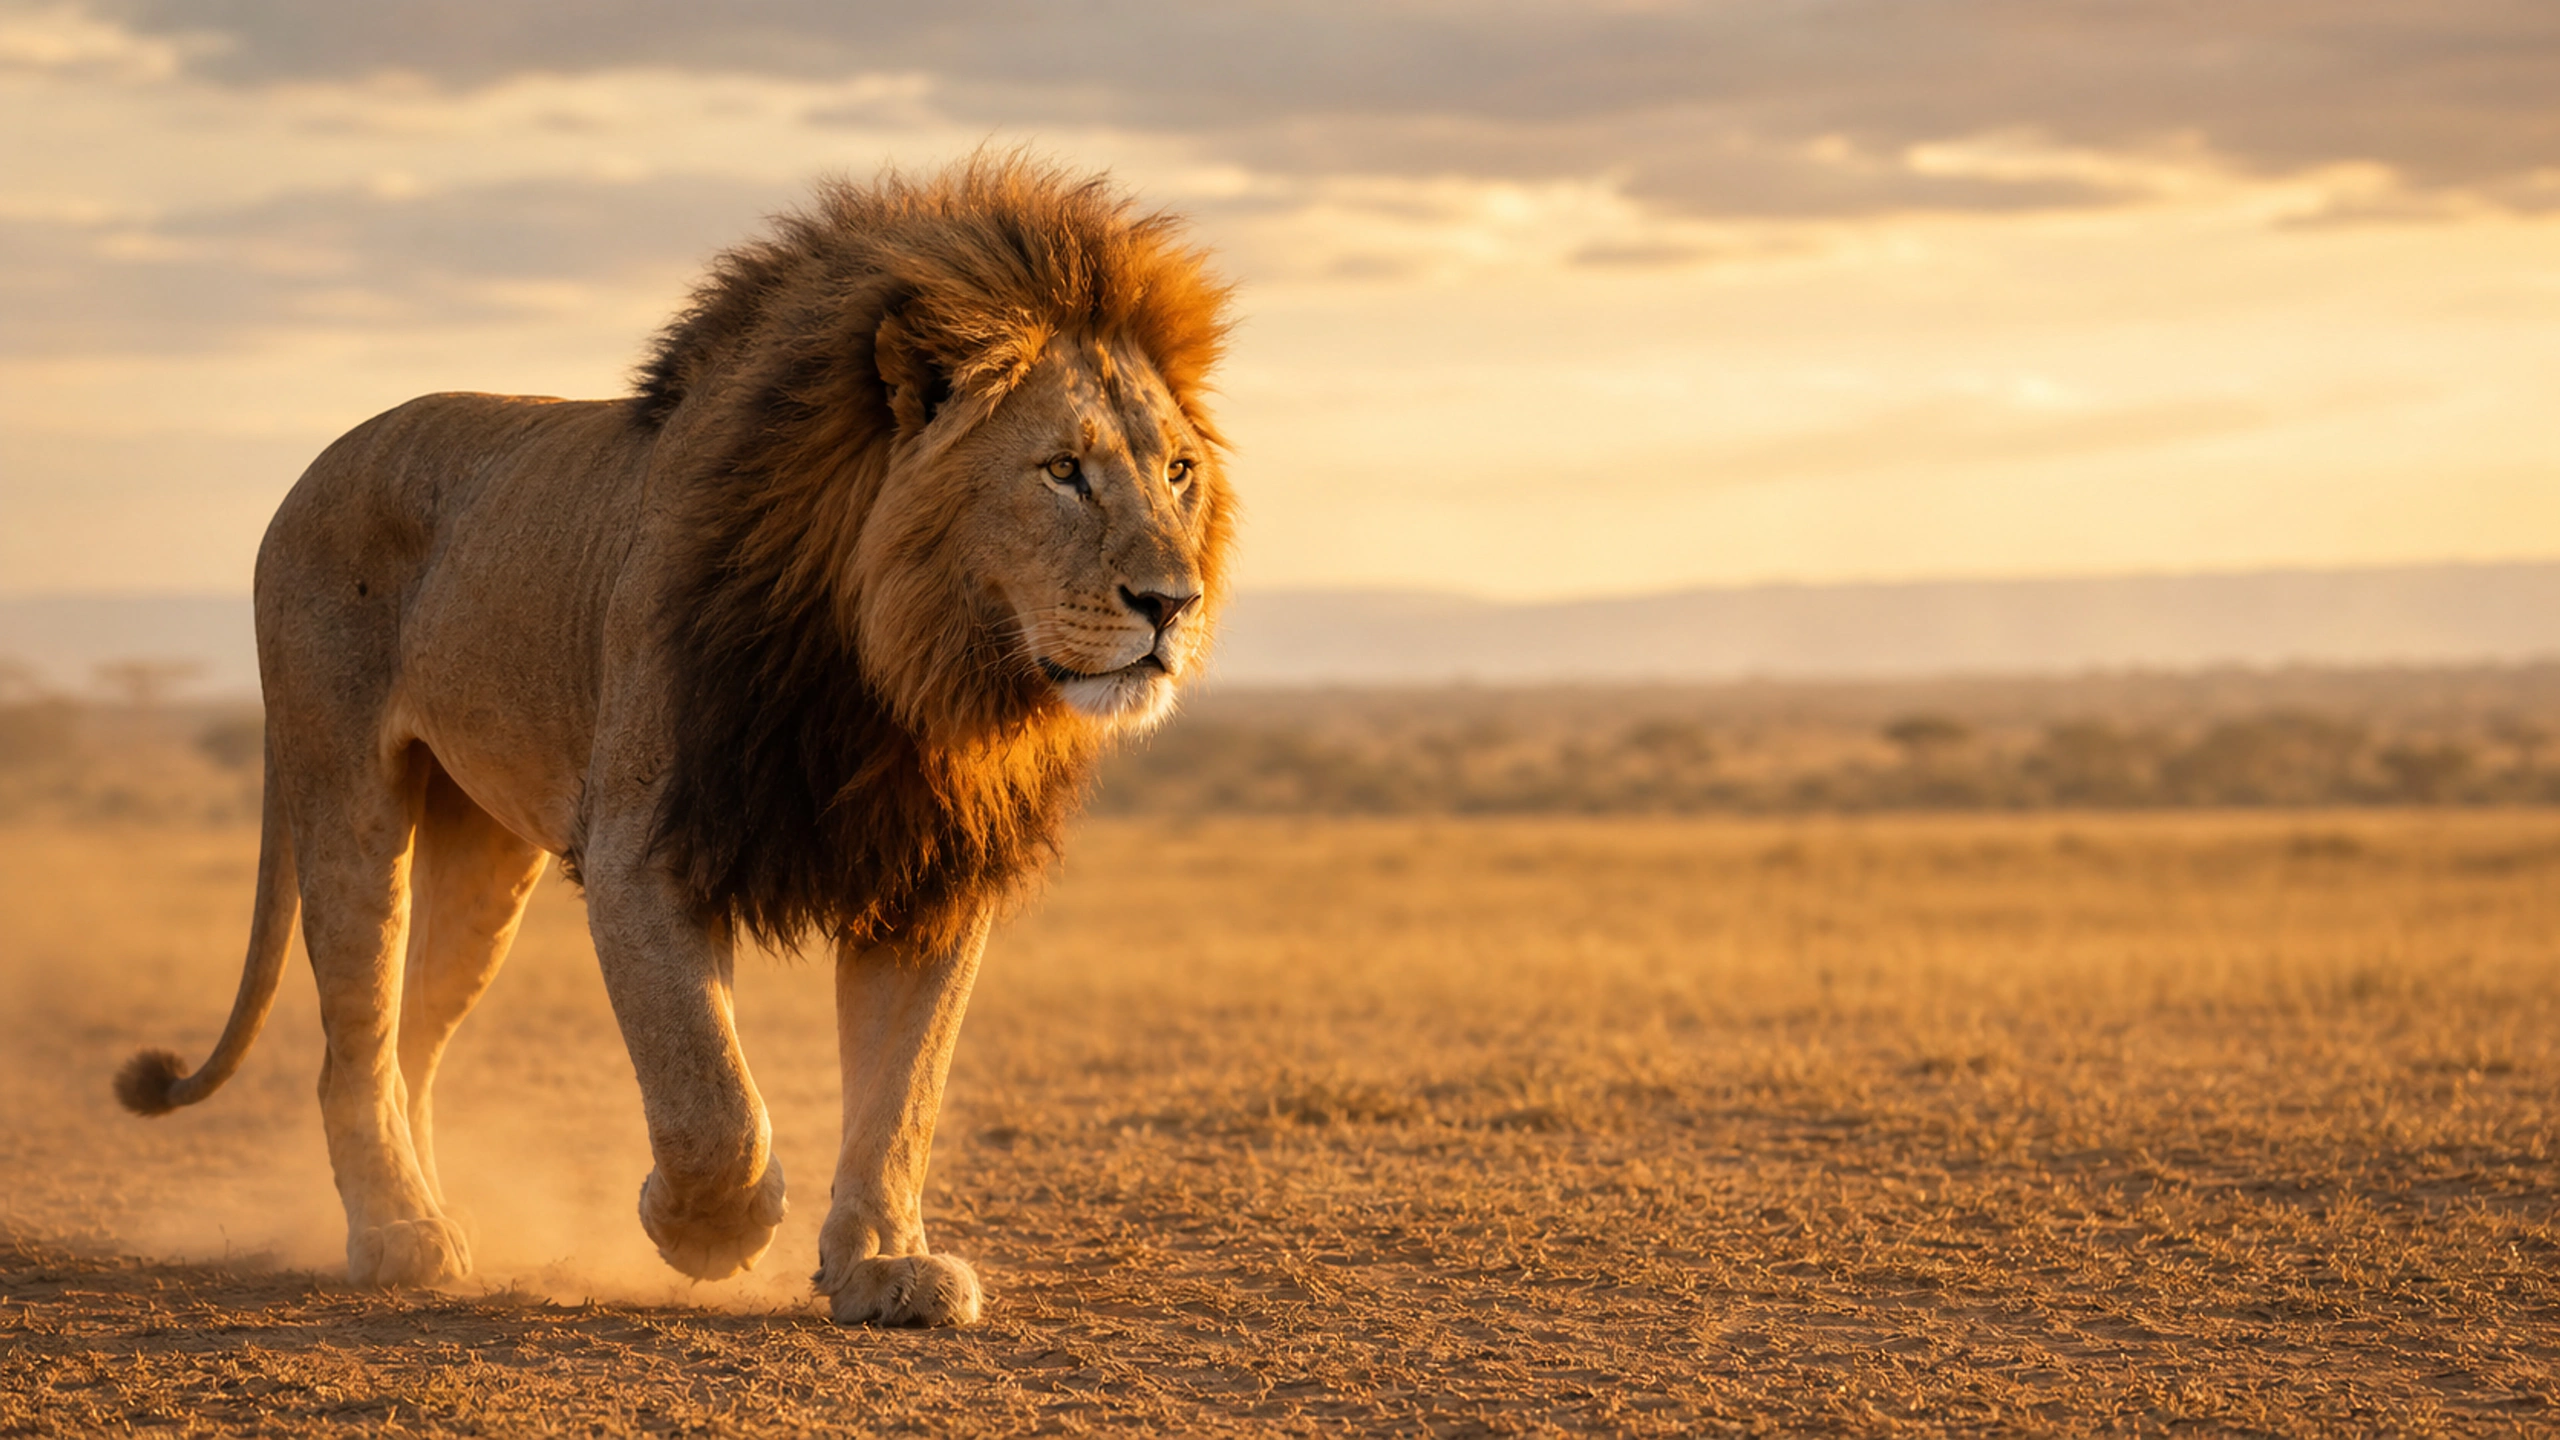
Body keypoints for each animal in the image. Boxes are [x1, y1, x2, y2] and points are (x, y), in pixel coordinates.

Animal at [112, 156, 1235, 1327]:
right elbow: (710, 1089)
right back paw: (398, 1234)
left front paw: (885, 1268)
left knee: (410, 1049)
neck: (898, 678)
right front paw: (706, 1230)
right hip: (346, 796)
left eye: (1178, 474)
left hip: (483, 860)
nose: (1173, 603)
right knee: (353, 1046)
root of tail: (315, 468)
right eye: (1062, 471)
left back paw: (433, 1207)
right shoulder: (644, 851)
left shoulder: (928, 874)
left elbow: (903, 1095)